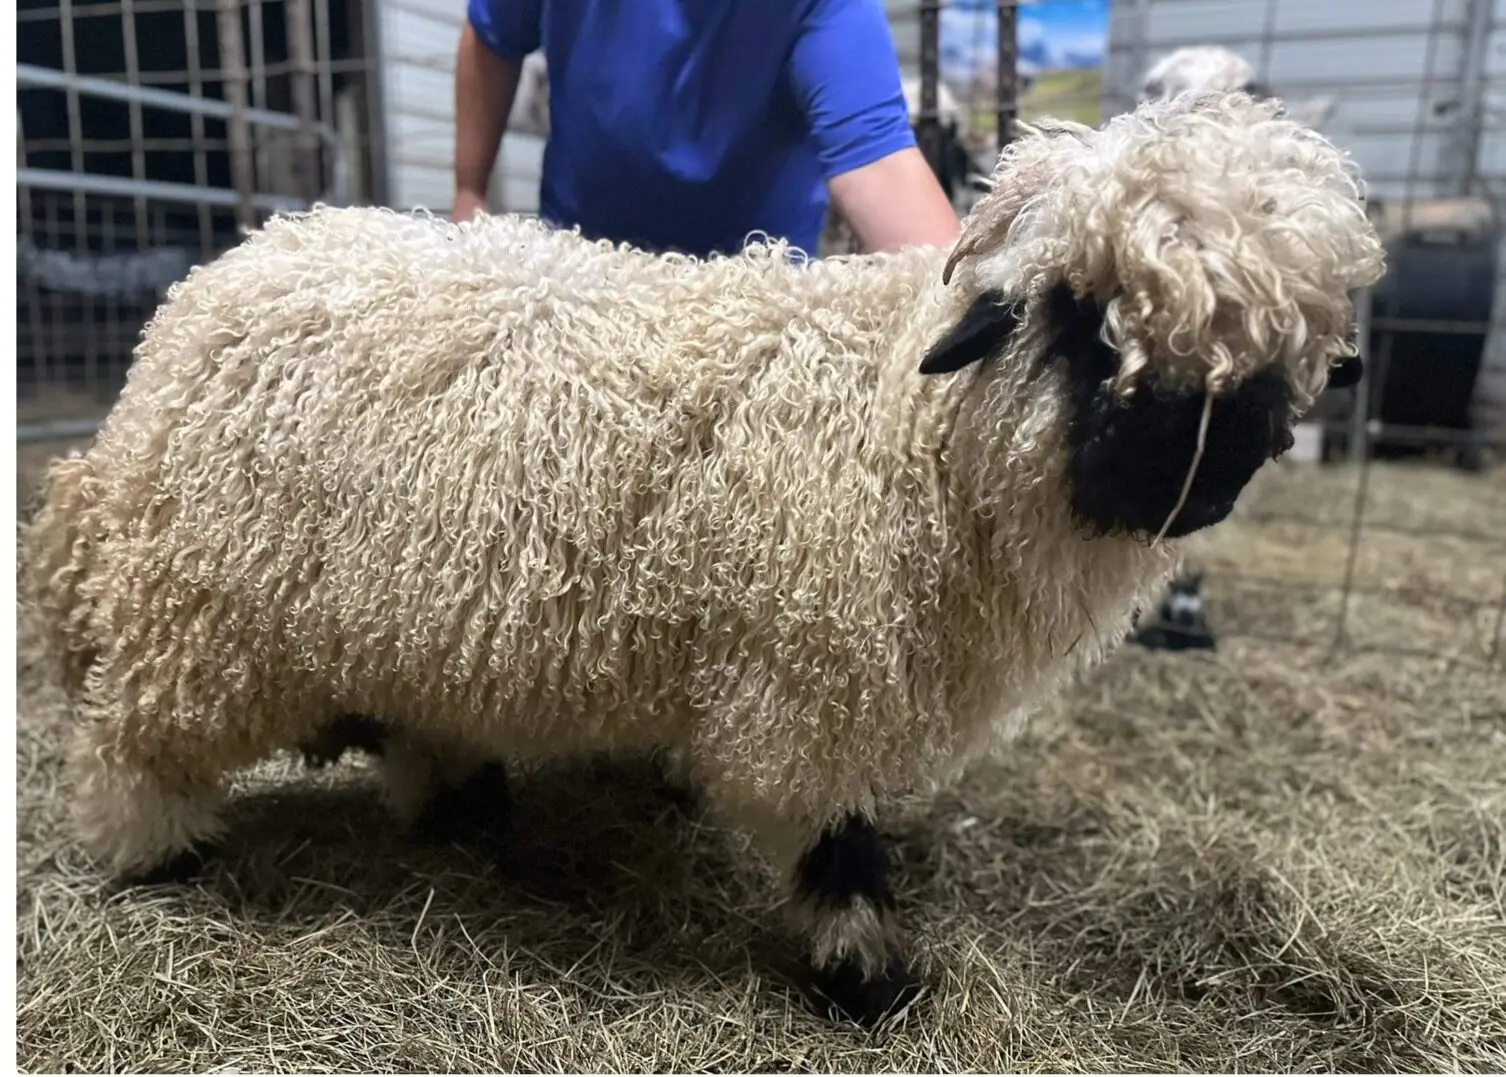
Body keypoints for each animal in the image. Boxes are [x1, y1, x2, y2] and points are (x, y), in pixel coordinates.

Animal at [22, 91, 1384, 1028]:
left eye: (1278, 370)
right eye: (1090, 324)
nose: (1192, 487)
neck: (911, 429)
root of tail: (208, 287)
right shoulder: (808, 682)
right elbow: (831, 837)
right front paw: (867, 975)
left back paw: (457, 797)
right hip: (205, 613)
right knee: (134, 736)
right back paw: (156, 851)